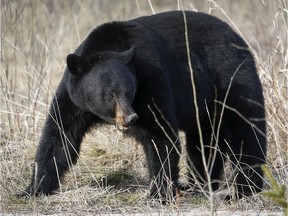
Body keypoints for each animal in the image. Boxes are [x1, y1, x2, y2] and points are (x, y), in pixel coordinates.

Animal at [19, 10, 266, 199]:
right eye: (110, 94)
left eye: (129, 92)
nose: (130, 117)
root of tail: (237, 37)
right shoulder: (74, 98)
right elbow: (59, 136)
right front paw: (33, 189)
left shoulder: (151, 82)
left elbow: (160, 136)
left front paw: (159, 193)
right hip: (203, 105)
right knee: (204, 142)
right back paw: (198, 186)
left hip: (232, 80)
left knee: (246, 131)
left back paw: (245, 189)